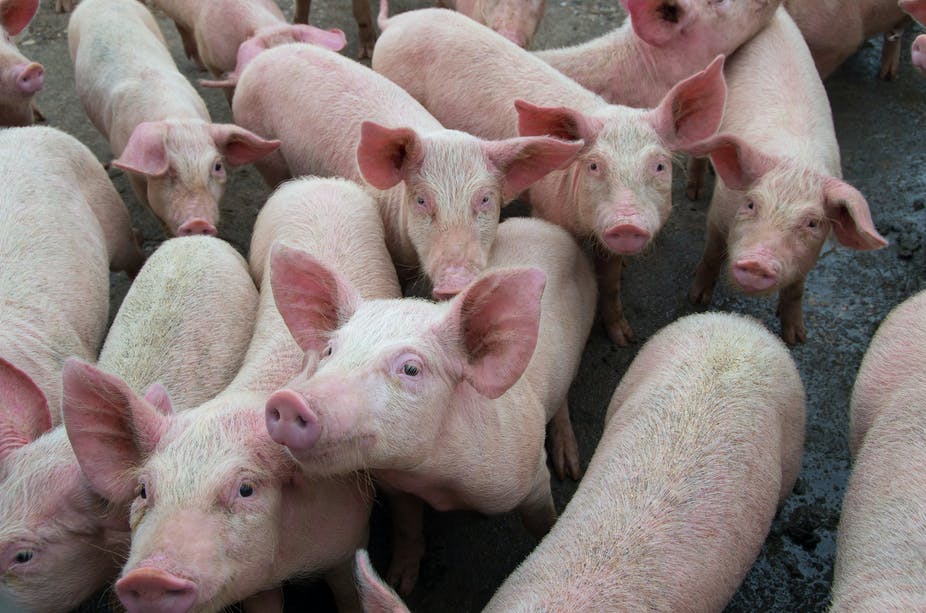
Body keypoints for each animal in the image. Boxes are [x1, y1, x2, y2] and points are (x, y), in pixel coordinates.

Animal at [64, 178, 396, 613]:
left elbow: (348, 592)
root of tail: (319, 182)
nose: (149, 578)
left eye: (245, 488)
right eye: (143, 490)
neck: (289, 561)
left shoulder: (348, 539)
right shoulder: (255, 585)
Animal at [68, 0, 281, 238]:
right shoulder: (134, 175)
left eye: (217, 166)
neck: (176, 117)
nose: (198, 222)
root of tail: (97, 2)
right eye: (168, 169)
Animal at [264, 216, 597, 594]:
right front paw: (400, 584)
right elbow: (407, 524)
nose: (289, 401)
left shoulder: (531, 476)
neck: (432, 480)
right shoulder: (396, 487)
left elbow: (542, 520)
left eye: (411, 368)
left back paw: (569, 466)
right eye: (330, 350)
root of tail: (541, 224)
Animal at [372, 7, 727, 345]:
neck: (584, 227)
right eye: (594, 165)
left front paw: (626, 339)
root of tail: (397, 23)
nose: (627, 223)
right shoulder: (545, 205)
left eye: (659, 165)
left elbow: (611, 283)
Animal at [685, 7, 886, 345]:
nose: (758, 262)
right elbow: (712, 254)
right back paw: (693, 191)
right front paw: (697, 299)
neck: (796, 163)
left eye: (812, 223)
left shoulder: (812, 254)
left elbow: (796, 289)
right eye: (751, 204)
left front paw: (796, 337)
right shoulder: (718, 213)